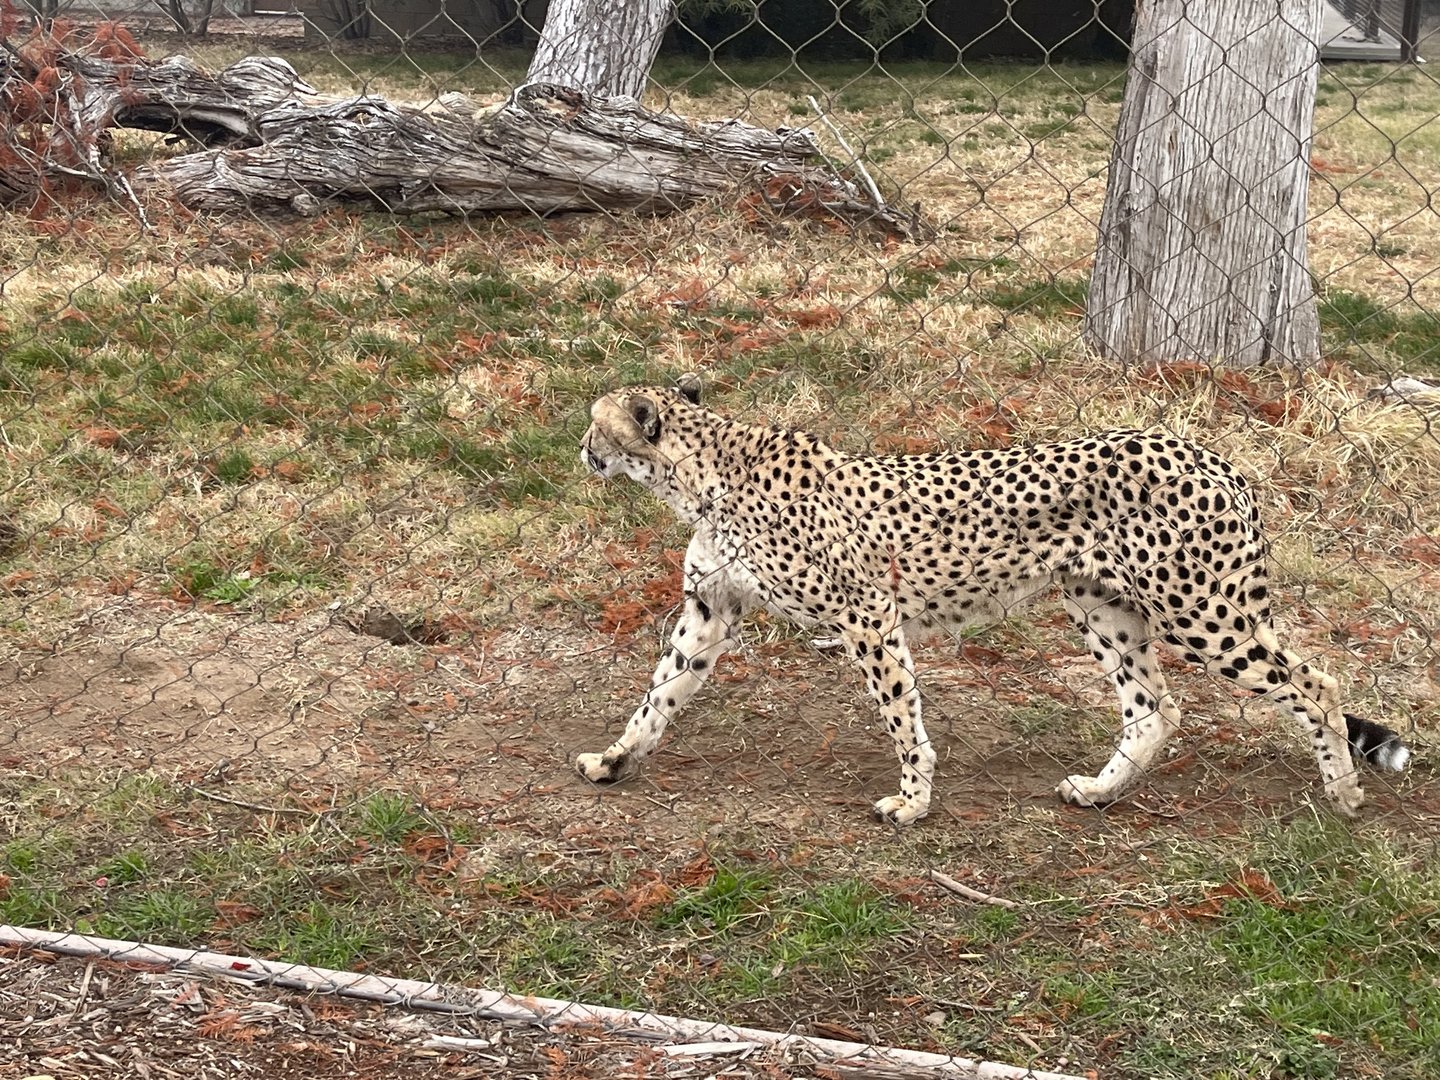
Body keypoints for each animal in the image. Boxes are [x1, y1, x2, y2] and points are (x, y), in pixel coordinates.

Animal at [574, 374, 1410, 826]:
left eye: (597, 423)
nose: (581, 450)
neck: (705, 473)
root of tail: (1214, 457)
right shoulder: (710, 611)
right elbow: (657, 697)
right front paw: (615, 759)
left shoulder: (867, 613)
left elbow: (902, 714)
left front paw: (912, 800)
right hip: (1102, 606)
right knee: (1156, 709)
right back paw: (1101, 791)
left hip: (1199, 609)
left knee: (1314, 681)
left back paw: (1342, 791)